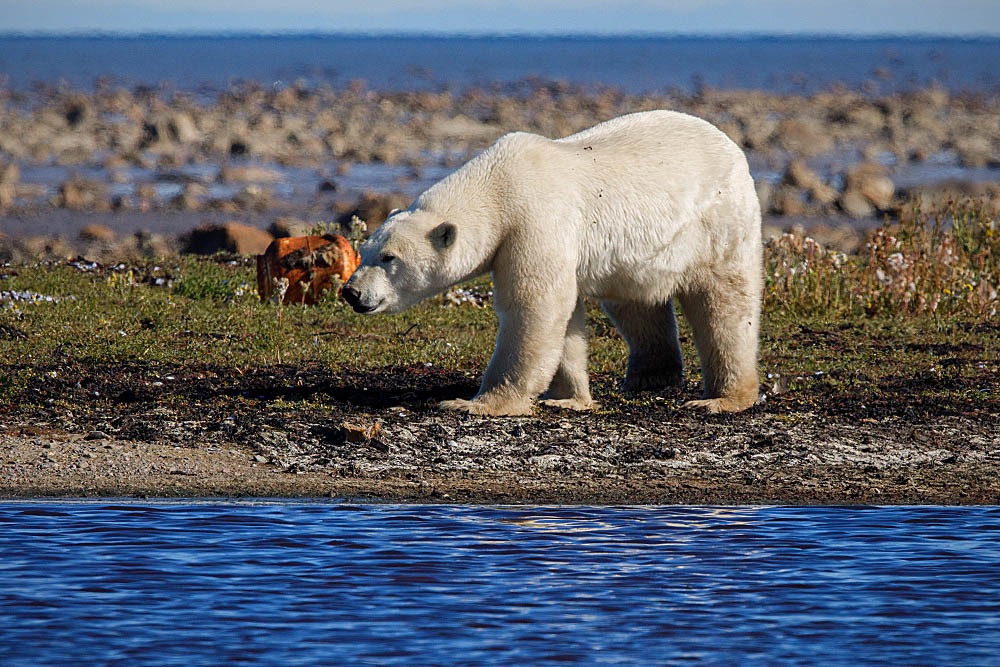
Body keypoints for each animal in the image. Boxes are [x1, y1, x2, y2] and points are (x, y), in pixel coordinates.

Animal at [340, 109, 760, 414]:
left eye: (389, 258)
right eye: (365, 250)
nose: (351, 292)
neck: (498, 186)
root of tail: (734, 150)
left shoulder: (533, 222)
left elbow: (533, 305)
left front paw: (474, 403)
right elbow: (564, 316)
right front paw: (568, 397)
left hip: (716, 225)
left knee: (725, 307)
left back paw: (722, 399)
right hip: (639, 250)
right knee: (634, 302)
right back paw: (649, 377)